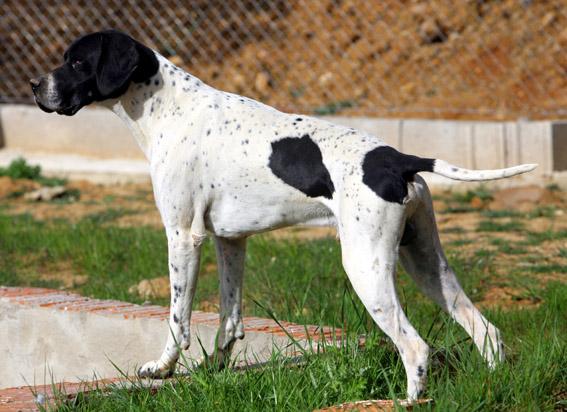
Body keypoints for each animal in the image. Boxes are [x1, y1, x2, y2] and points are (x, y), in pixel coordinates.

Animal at [30, 30, 536, 400]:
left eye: (77, 63)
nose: (36, 86)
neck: (166, 106)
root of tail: (397, 158)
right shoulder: (230, 241)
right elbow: (230, 319)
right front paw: (215, 371)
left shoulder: (183, 236)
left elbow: (178, 319)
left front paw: (162, 368)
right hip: (427, 263)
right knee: (485, 331)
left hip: (367, 267)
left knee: (415, 347)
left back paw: (408, 400)